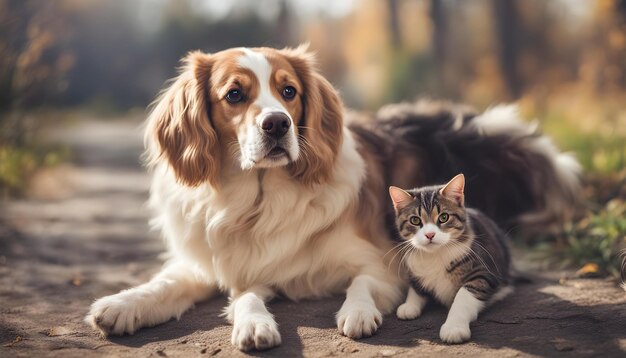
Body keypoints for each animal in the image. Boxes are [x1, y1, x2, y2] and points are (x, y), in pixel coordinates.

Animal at [390, 174, 512, 344]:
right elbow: (416, 286)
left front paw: (454, 328)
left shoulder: (482, 272)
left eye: (444, 217)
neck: (435, 254)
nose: (429, 235)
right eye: (415, 220)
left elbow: (463, 297)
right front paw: (409, 305)